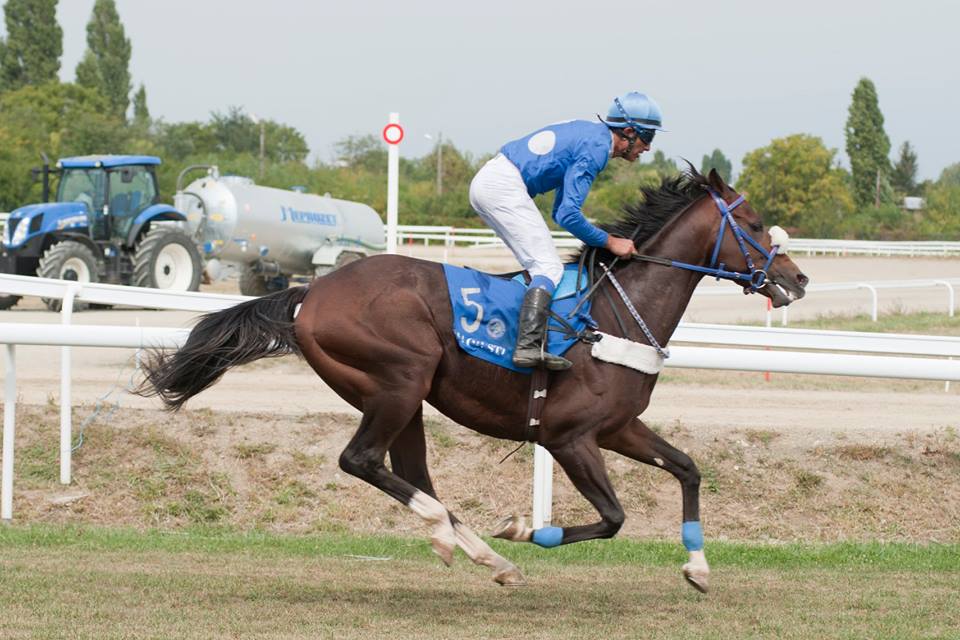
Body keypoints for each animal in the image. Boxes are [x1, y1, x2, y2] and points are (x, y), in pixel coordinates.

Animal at [137, 167, 808, 593]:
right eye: (753, 224)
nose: (797, 280)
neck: (614, 313)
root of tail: (310, 294)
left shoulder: (617, 427)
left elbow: (689, 469)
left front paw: (698, 568)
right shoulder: (568, 438)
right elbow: (614, 517)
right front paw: (523, 528)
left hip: (404, 397)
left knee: (408, 471)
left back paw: (483, 556)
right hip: (400, 379)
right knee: (362, 461)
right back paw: (458, 538)